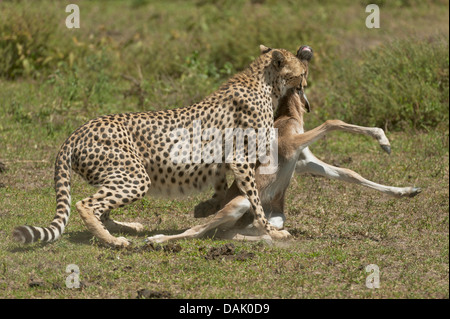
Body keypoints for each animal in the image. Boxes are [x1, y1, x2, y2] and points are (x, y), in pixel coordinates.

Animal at [12, 44, 306, 248]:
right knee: (87, 205)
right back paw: (113, 241)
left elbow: (223, 190)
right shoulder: (241, 159)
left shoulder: (224, 161)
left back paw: (128, 227)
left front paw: (206, 208)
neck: (264, 81)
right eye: (301, 72)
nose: (306, 81)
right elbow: (255, 200)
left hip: (119, 176)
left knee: (102, 208)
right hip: (133, 176)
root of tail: (76, 132)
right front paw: (271, 230)